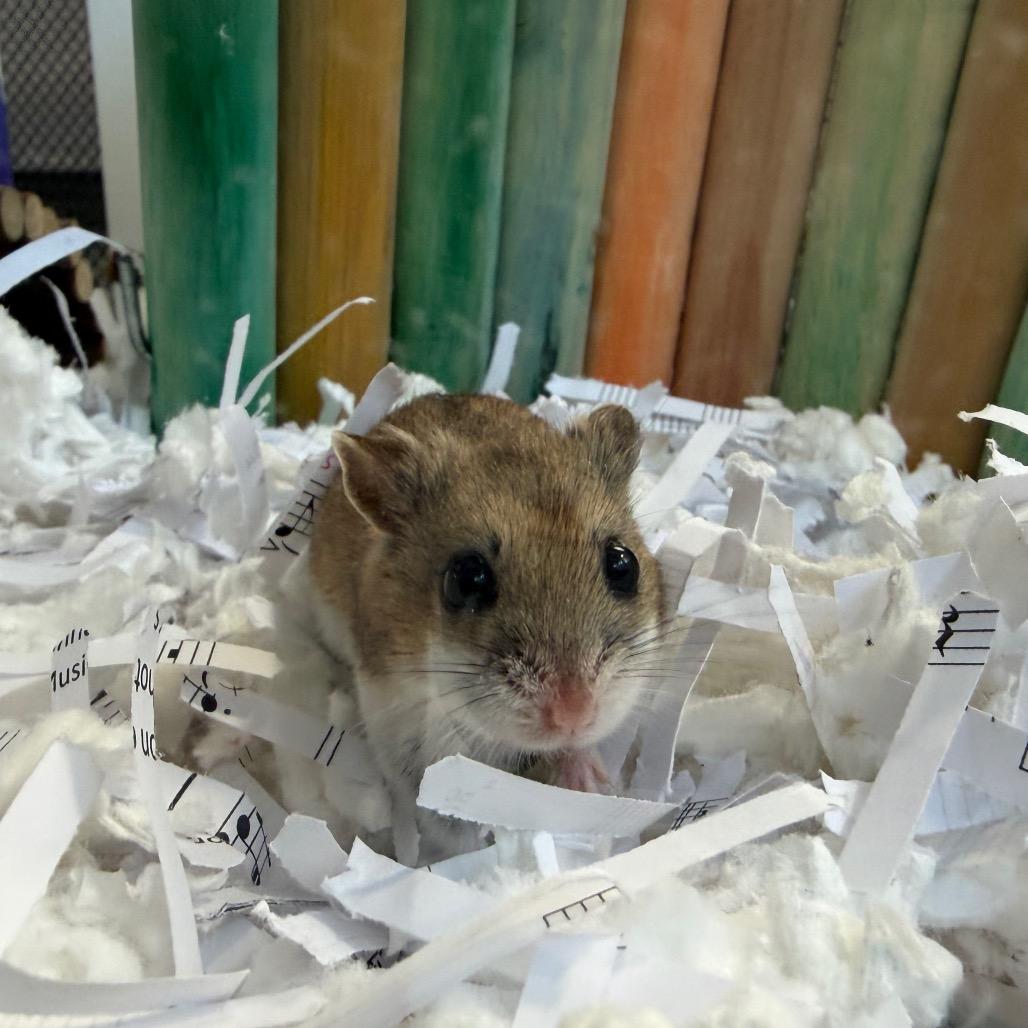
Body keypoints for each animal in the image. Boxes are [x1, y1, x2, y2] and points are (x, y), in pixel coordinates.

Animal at [308, 394, 665, 848]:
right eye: (465, 579)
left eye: (624, 564)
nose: (574, 713)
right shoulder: (397, 725)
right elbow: (438, 812)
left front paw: (591, 786)